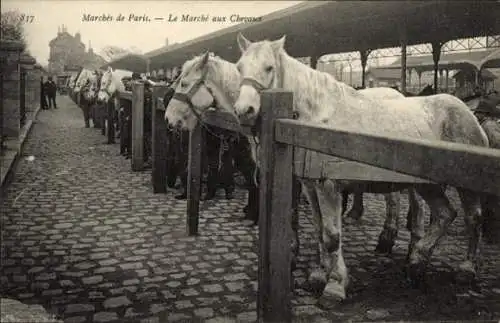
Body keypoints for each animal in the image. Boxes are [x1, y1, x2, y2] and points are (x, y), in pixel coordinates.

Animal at [233, 33, 488, 308]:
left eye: (269, 67)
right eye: (239, 67)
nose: (243, 111)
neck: (318, 121)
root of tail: (468, 112)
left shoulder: (329, 186)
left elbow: (332, 236)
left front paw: (335, 286)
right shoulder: (310, 186)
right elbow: (320, 229)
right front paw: (319, 276)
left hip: (462, 185)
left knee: (472, 218)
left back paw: (466, 269)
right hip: (426, 184)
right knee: (444, 214)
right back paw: (415, 264)